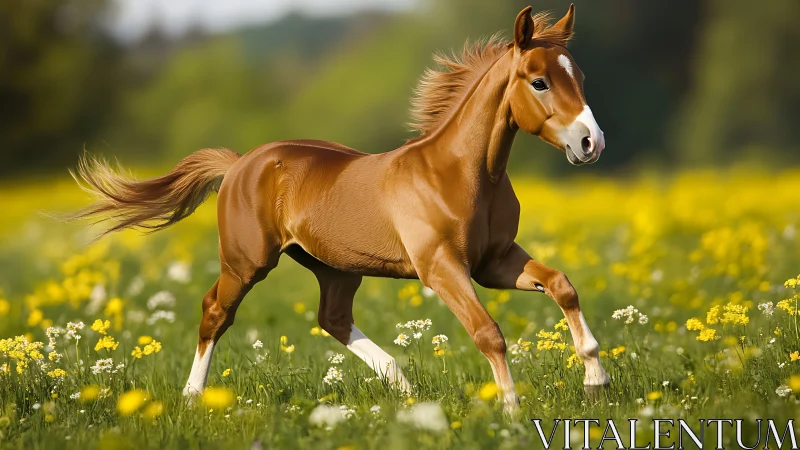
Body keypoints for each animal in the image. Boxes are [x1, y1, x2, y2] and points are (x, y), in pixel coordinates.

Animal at [65, 5, 609, 414]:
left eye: (580, 75)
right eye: (538, 82)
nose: (591, 142)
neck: (461, 173)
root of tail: (240, 162)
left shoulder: (495, 263)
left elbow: (562, 284)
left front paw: (596, 381)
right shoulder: (442, 268)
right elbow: (489, 333)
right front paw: (511, 408)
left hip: (336, 267)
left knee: (332, 318)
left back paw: (402, 386)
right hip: (247, 262)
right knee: (216, 312)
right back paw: (192, 396)